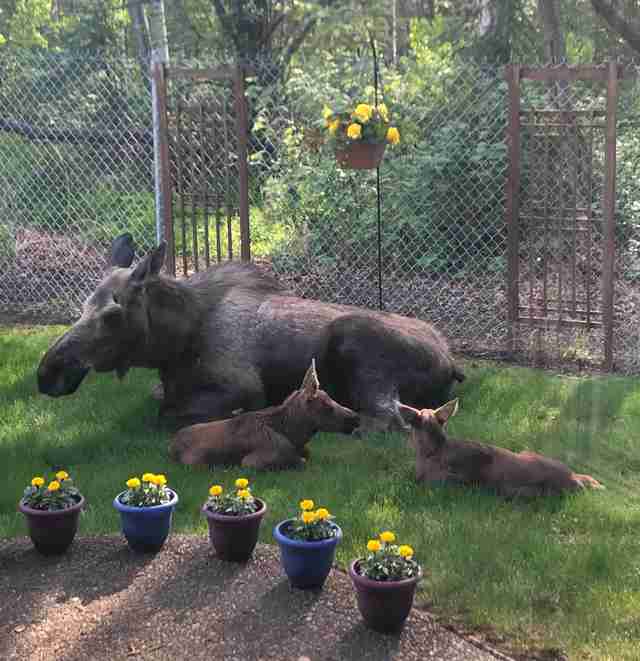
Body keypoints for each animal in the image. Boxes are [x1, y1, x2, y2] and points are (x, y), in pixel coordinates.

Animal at [37, 235, 462, 430]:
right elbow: (160, 400)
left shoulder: (242, 385)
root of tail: (452, 363)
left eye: (112, 315)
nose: (47, 373)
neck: (173, 346)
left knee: (389, 419)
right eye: (82, 306)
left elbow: (168, 414)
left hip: (356, 340)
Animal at [169, 360, 360, 470]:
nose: (355, 418)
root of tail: (172, 446)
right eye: (327, 406)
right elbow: (300, 461)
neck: (294, 436)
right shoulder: (252, 461)